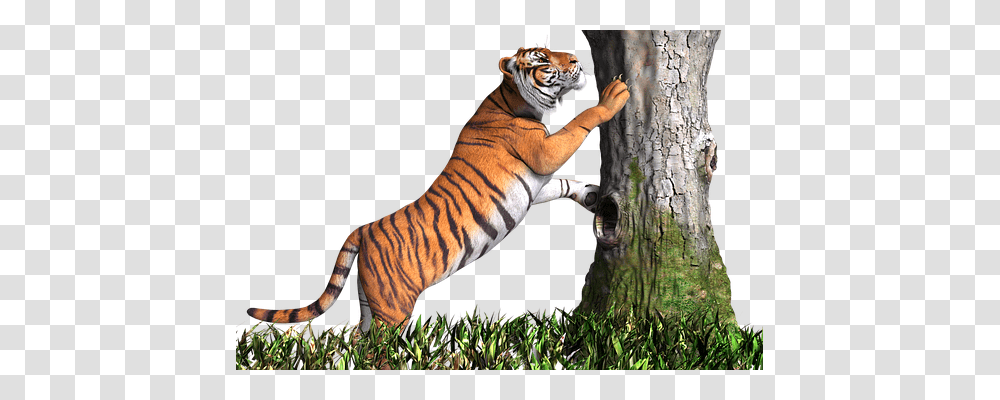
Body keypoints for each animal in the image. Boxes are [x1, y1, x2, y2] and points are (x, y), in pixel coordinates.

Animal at [247, 47, 630, 332]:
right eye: (543, 60)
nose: (577, 60)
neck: (514, 100)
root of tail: (364, 230)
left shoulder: (537, 181)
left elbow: (563, 184)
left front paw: (593, 196)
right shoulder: (543, 151)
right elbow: (580, 122)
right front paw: (613, 96)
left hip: (370, 300)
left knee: (358, 336)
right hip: (393, 306)